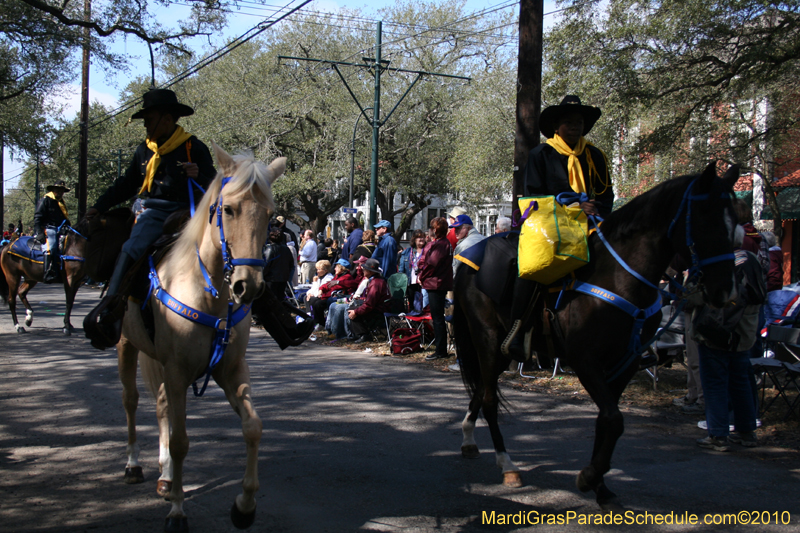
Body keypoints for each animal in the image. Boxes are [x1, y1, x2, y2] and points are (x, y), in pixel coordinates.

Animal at [115, 142, 282, 532]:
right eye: (228, 208)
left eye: (270, 215)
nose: (248, 286)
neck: (209, 294)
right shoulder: (177, 371)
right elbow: (180, 441)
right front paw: (177, 511)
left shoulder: (230, 369)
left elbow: (253, 427)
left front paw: (244, 505)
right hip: (127, 346)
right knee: (131, 401)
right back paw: (134, 465)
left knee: (160, 405)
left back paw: (164, 478)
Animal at [454, 161, 740, 508]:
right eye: (704, 218)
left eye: (737, 223)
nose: (725, 291)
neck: (620, 277)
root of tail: (469, 260)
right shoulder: (585, 360)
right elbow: (614, 419)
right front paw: (589, 477)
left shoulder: (624, 362)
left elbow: (608, 421)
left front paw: (600, 485)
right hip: (487, 340)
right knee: (490, 399)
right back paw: (507, 464)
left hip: (495, 351)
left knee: (483, 389)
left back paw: (469, 439)